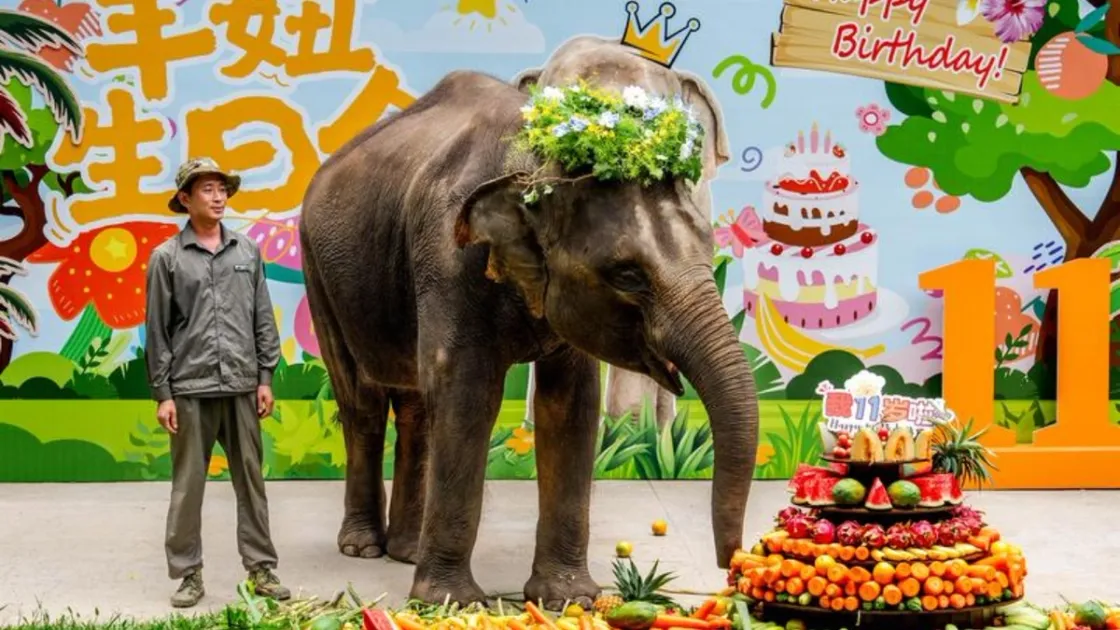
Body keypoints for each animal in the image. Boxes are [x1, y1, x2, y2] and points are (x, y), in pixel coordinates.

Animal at [298, 34, 761, 608]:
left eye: (709, 249)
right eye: (628, 275)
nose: (732, 565)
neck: (534, 157)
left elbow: (572, 403)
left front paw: (569, 599)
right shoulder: (448, 255)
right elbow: (468, 391)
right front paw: (451, 602)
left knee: (416, 405)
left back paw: (404, 550)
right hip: (318, 268)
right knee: (360, 399)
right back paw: (363, 549)